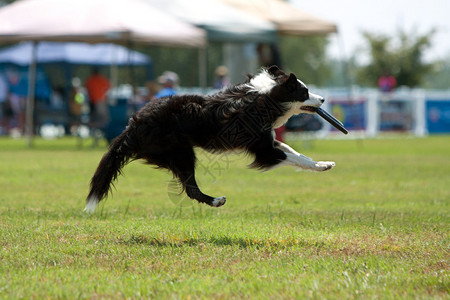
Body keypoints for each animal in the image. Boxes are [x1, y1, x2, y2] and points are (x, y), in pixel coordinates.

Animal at [85, 65, 334, 212]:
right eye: (305, 92)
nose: (323, 99)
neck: (267, 96)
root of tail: (133, 124)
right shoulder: (263, 149)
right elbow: (295, 158)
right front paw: (322, 165)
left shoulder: (269, 139)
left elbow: (297, 153)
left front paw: (323, 164)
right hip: (182, 152)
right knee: (191, 189)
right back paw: (216, 200)